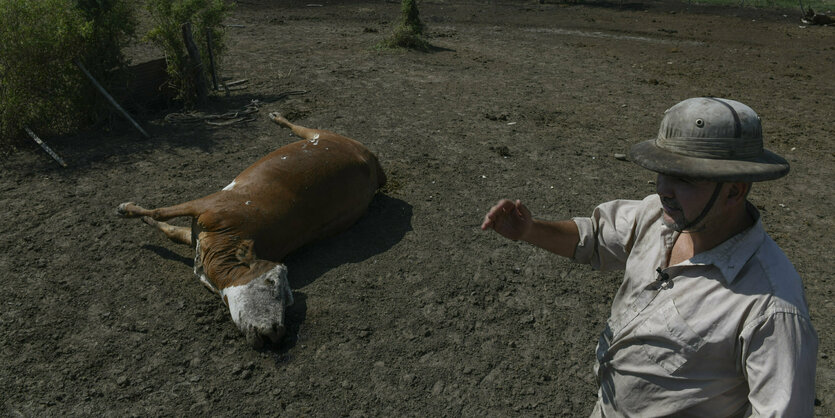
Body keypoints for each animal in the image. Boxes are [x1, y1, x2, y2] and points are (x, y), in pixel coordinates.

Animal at [119, 113, 386, 346]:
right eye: (270, 281)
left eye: (290, 300)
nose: (277, 331)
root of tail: (369, 157)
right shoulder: (207, 206)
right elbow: (162, 217)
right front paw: (128, 209)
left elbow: (168, 227)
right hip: (323, 135)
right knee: (300, 128)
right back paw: (277, 117)